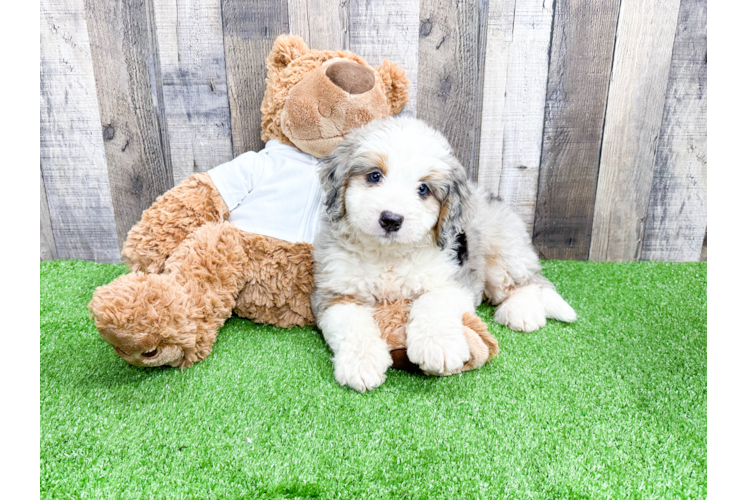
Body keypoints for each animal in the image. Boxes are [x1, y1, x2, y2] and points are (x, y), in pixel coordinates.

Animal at [312, 117, 576, 390]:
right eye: (375, 175)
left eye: (423, 189)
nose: (391, 219)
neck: (388, 255)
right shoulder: (335, 292)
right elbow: (351, 321)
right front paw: (361, 363)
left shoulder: (454, 279)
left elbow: (433, 301)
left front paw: (438, 347)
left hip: (503, 252)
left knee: (528, 282)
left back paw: (521, 312)